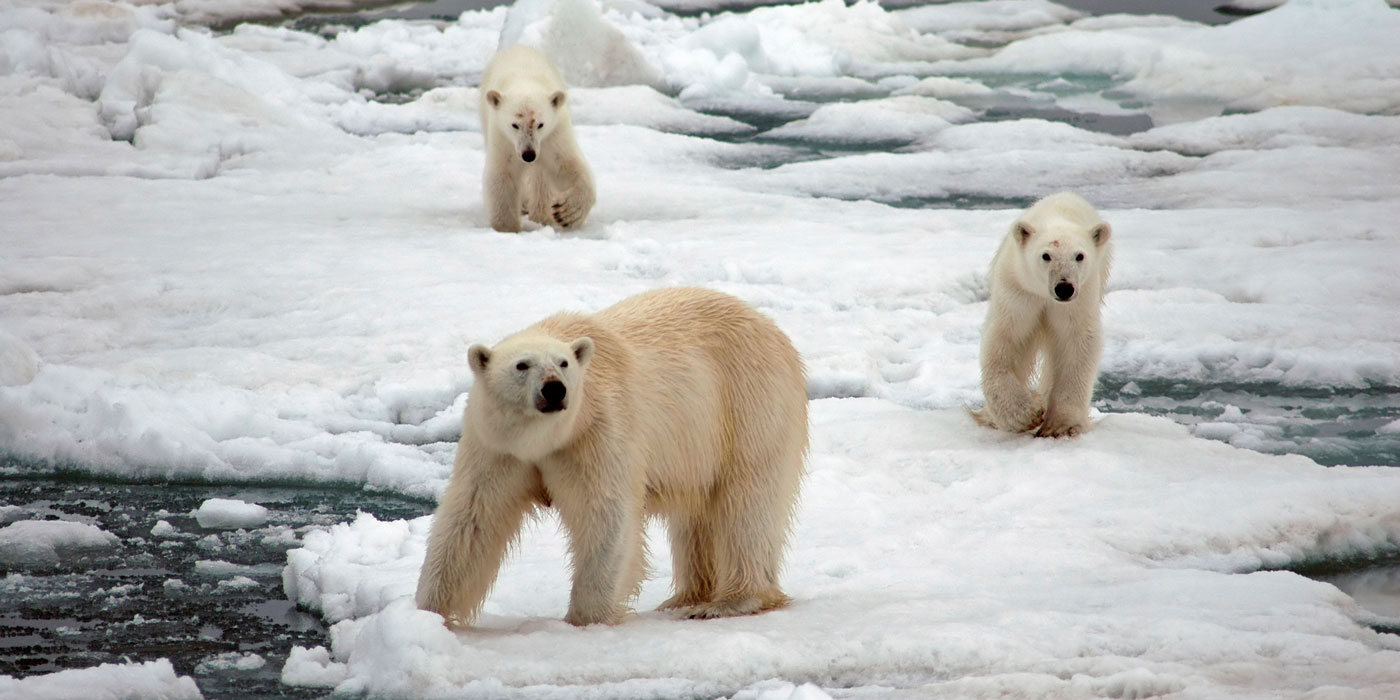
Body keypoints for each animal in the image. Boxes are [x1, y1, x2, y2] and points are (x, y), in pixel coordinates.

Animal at [415, 286, 808, 627]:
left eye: (563, 363)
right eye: (521, 365)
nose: (554, 389)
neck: (548, 437)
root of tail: (772, 328)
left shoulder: (598, 431)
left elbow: (605, 514)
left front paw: (585, 620)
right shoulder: (497, 447)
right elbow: (472, 519)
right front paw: (428, 613)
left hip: (746, 403)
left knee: (746, 502)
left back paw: (727, 602)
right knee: (696, 514)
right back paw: (685, 597)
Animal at [479, 44, 596, 233]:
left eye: (540, 124)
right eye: (514, 125)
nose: (528, 155)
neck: (525, 80)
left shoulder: (554, 133)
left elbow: (567, 166)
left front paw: (566, 213)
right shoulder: (502, 137)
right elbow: (502, 175)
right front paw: (507, 228)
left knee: (541, 177)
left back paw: (541, 214)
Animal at [973, 191, 1113, 438]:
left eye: (1079, 256)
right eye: (1046, 255)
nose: (1064, 288)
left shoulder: (1080, 299)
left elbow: (1078, 342)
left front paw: (1061, 425)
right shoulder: (1019, 290)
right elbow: (1004, 339)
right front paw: (1024, 415)